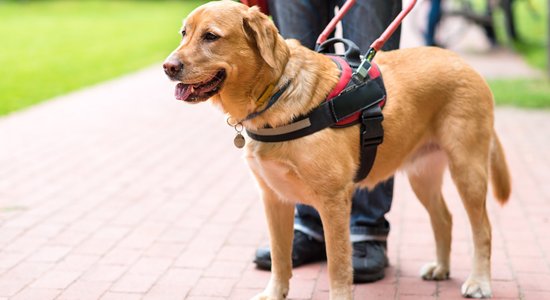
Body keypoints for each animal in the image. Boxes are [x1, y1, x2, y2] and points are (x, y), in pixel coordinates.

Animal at [163, 1, 512, 298]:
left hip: (468, 170)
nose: (168, 66)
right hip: (422, 175)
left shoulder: (334, 202)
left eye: (211, 36)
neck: (276, 94)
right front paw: (275, 293)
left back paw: (479, 282)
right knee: (445, 219)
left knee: (483, 229)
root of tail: (464, 63)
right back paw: (441, 268)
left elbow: (338, 268)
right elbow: (280, 258)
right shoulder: (274, 198)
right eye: (184, 33)